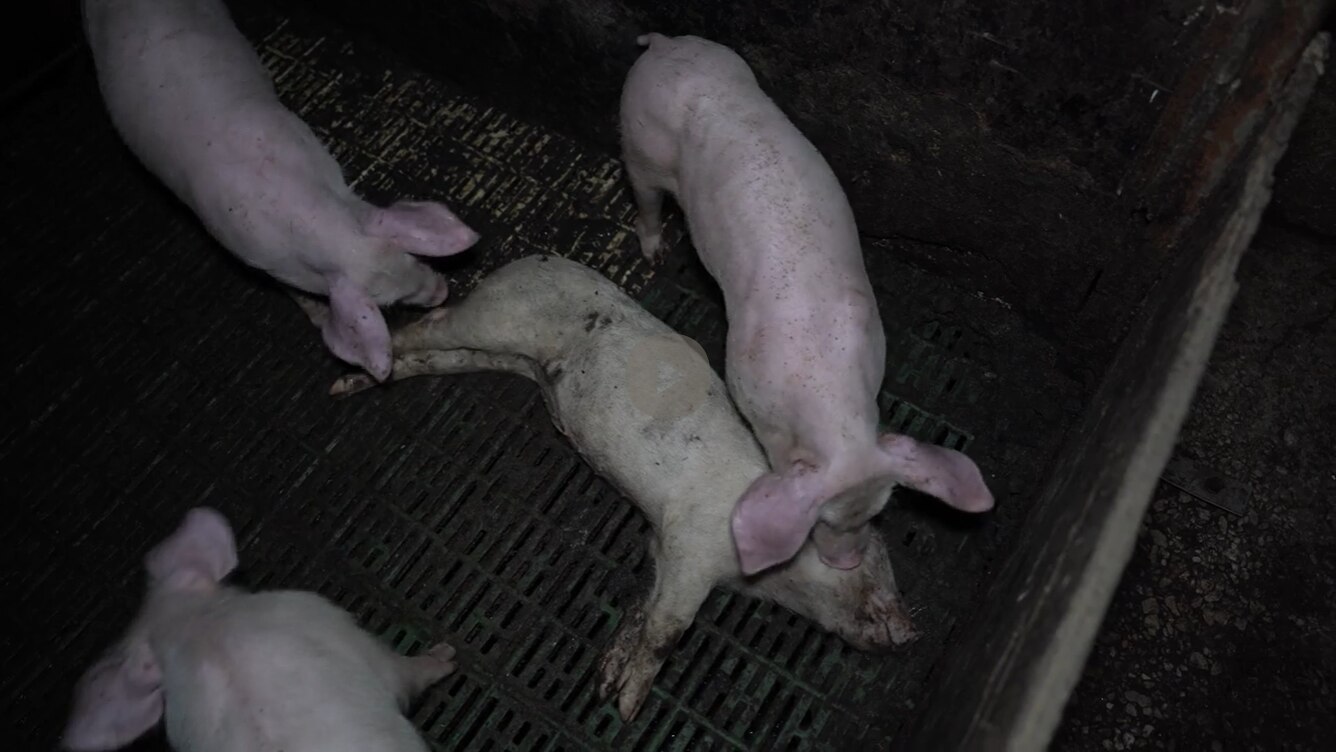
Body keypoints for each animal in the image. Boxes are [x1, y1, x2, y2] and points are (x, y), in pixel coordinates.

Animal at [329, 255, 917, 721]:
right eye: (870, 556)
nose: (912, 633)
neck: (768, 580)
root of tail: (535, 257)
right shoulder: (693, 549)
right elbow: (668, 629)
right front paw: (629, 708)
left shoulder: (662, 545)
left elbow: (643, 605)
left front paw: (606, 681)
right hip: (496, 318)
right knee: (434, 322)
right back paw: (350, 374)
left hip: (501, 356)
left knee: (439, 357)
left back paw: (357, 382)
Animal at [618, 33, 995, 576]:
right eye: (824, 521)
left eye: (879, 511)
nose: (849, 563)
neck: (829, 403)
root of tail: (663, 46)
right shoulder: (743, 379)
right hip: (638, 145)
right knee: (645, 202)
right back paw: (655, 253)